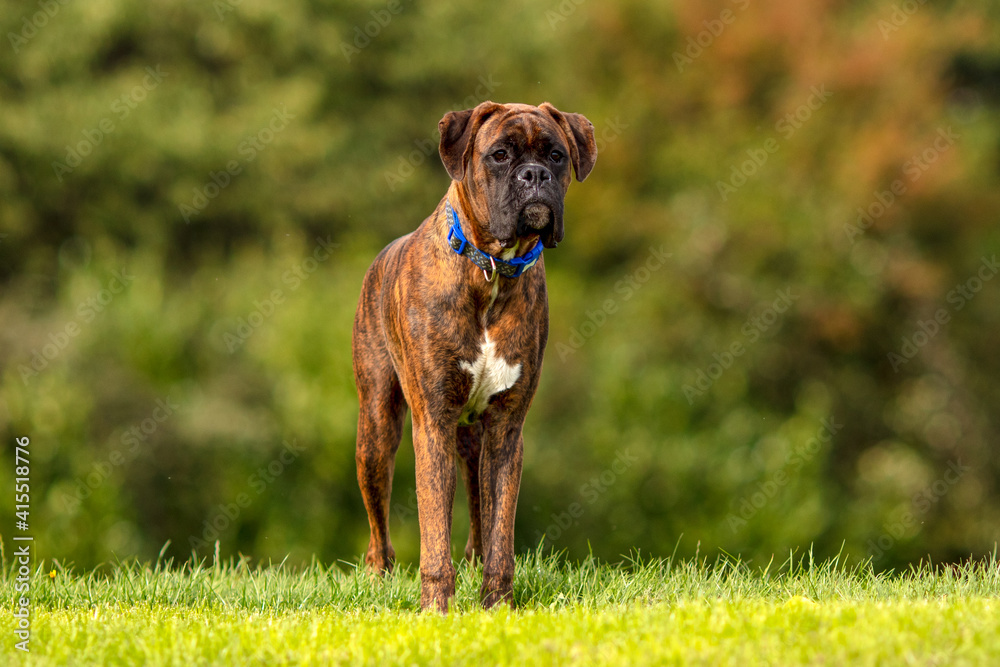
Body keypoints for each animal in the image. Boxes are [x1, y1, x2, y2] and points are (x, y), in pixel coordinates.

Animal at [352, 102, 592, 612]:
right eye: (499, 155)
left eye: (557, 155)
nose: (534, 174)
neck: (492, 270)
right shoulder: (433, 424)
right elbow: (433, 531)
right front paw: (436, 609)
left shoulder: (505, 430)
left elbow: (500, 529)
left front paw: (497, 606)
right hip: (377, 430)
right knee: (378, 528)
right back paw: (379, 577)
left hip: (473, 439)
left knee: (480, 516)